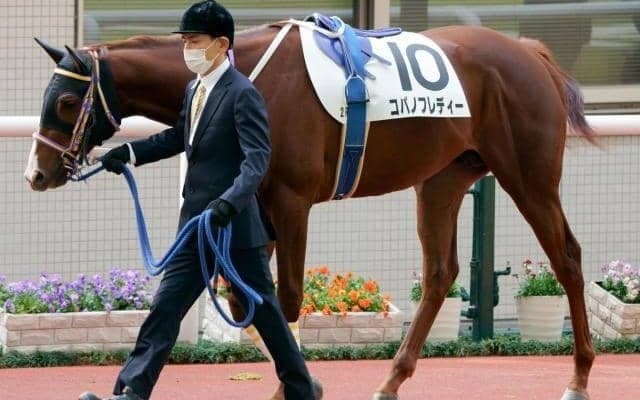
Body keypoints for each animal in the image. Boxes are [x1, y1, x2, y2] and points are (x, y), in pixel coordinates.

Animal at [25, 21, 597, 400]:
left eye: (68, 103)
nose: (36, 174)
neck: (247, 74)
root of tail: (529, 52)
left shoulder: (291, 201)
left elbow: (286, 298)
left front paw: (295, 386)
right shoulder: (249, 205)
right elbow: (243, 297)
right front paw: (304, 377)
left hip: (529, 177)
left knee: (567, 257)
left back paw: (579, 377)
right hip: (442, 179)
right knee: (439, 274)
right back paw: (390, 381)